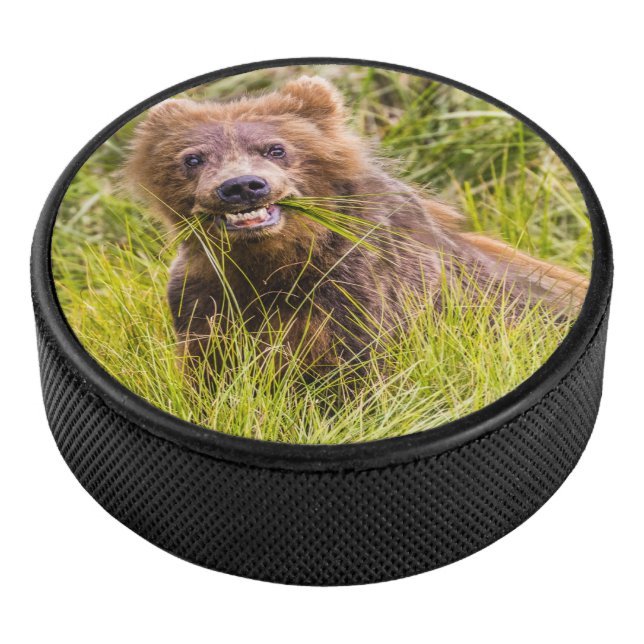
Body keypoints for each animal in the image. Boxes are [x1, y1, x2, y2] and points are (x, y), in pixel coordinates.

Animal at [124, 76, 589, 383]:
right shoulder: (206, 292)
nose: (240, 186)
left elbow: (361, 372)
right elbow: (208, 368)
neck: (273, 262)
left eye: (276, 148)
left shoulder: (358, 288)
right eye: (193, 158)